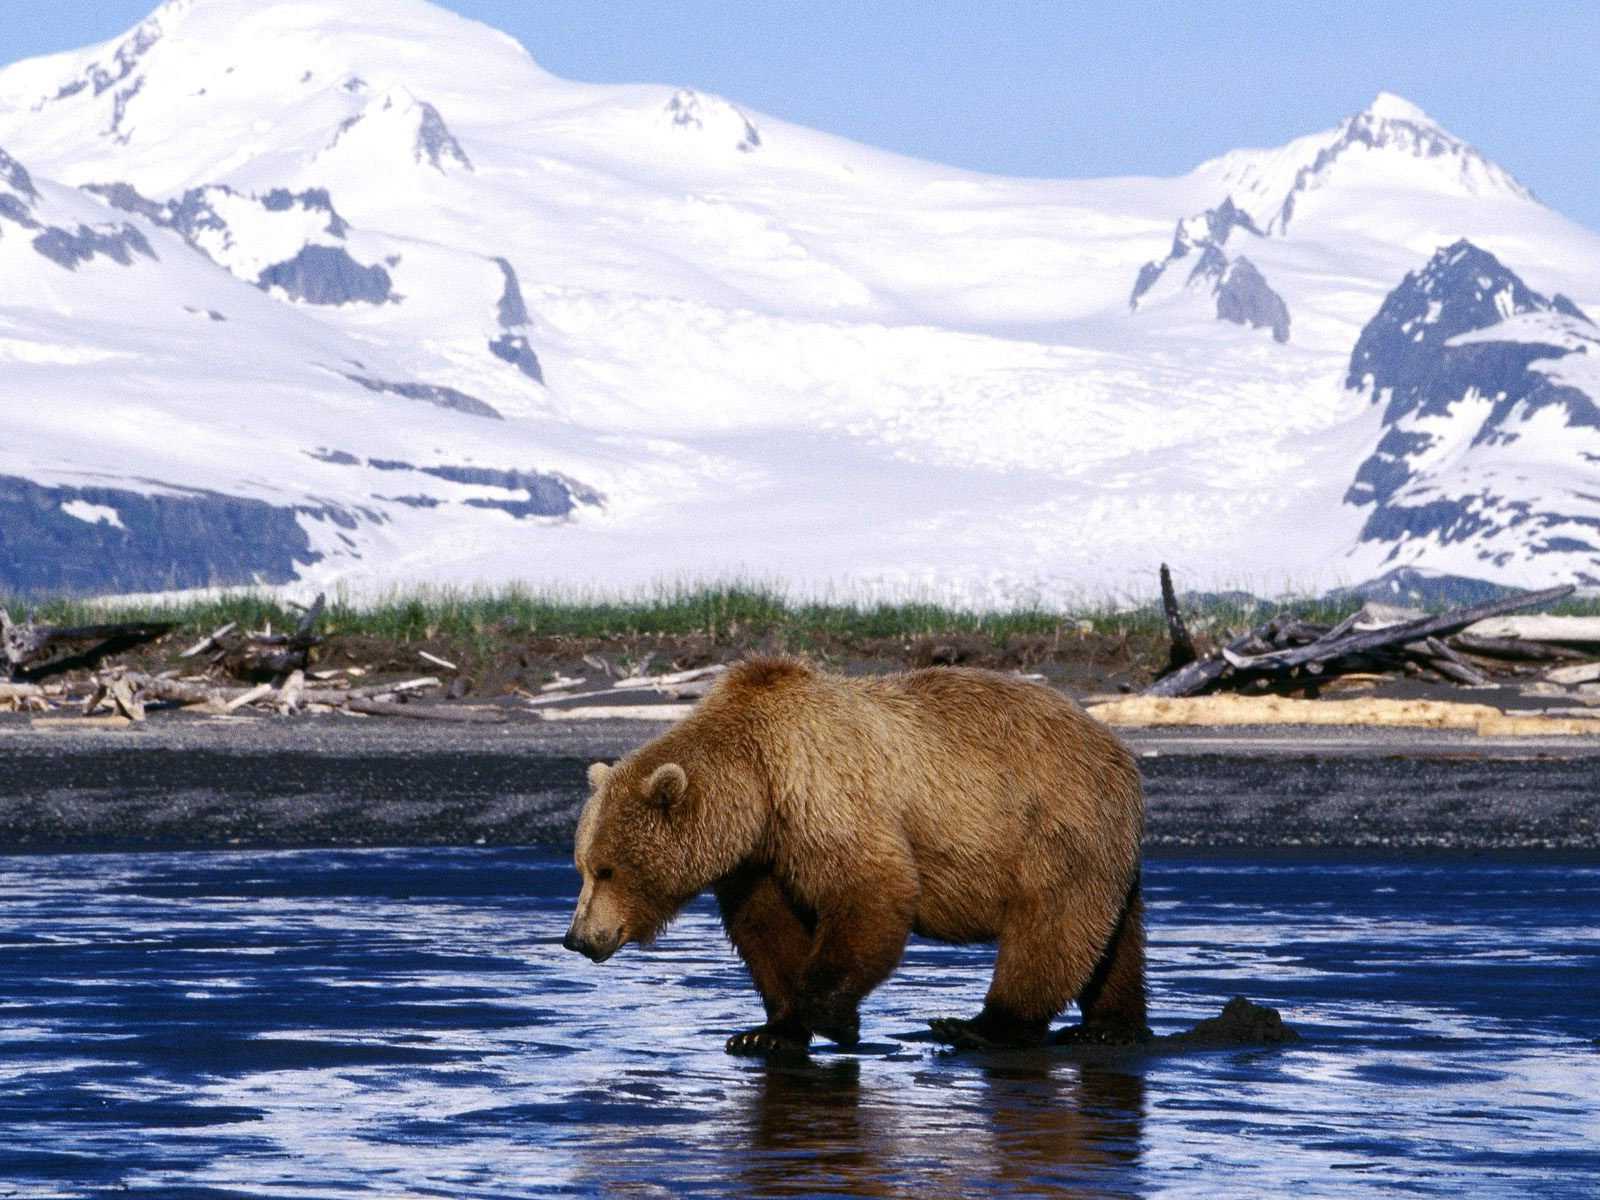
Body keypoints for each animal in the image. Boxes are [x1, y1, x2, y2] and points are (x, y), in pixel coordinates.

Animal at [562, 656, 1147, 1055]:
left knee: (1051, 925)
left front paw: (838, 1020)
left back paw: (981, 1026)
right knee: (1112, 937)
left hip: (1053, 823)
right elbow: (766, 930)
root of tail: (1117, 746)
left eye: (608, 869)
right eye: (582, 867)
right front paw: (766, 1033)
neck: (757, 784)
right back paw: (1109, 1026)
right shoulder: (759, 858)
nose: (577, 938)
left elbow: (871, 889)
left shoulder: (822, 794)